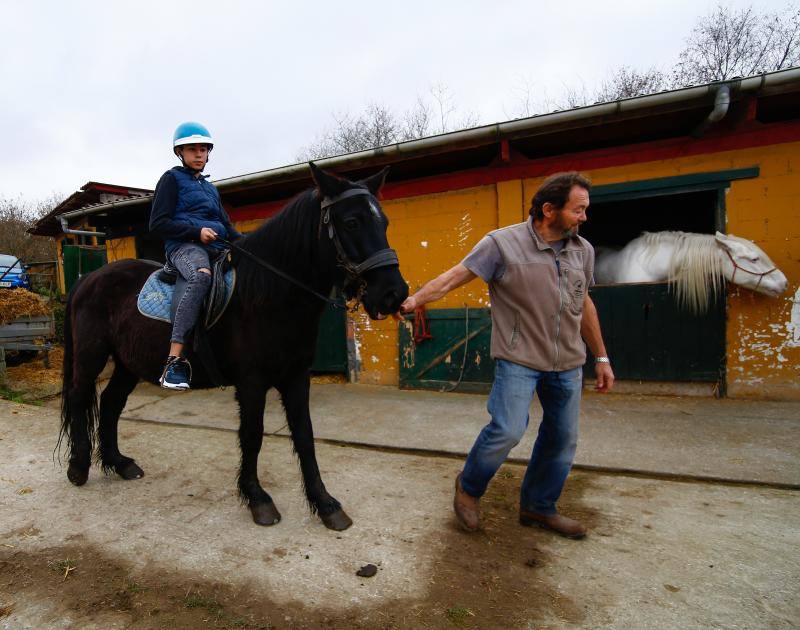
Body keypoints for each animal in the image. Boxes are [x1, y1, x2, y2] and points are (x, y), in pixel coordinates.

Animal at [57, 165, 406, 532]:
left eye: (383, 222)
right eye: (352, 222)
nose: (393, 294)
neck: (269, 294)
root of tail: (88, 279)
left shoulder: (296, 377)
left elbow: (304, 435)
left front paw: (325, 503)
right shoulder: (251, 382)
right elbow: (252, 435)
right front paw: (258, 499)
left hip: (128, 363)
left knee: (111, 403)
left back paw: (119, 463)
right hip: (91, 356)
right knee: (80, 398)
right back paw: (78, 467)